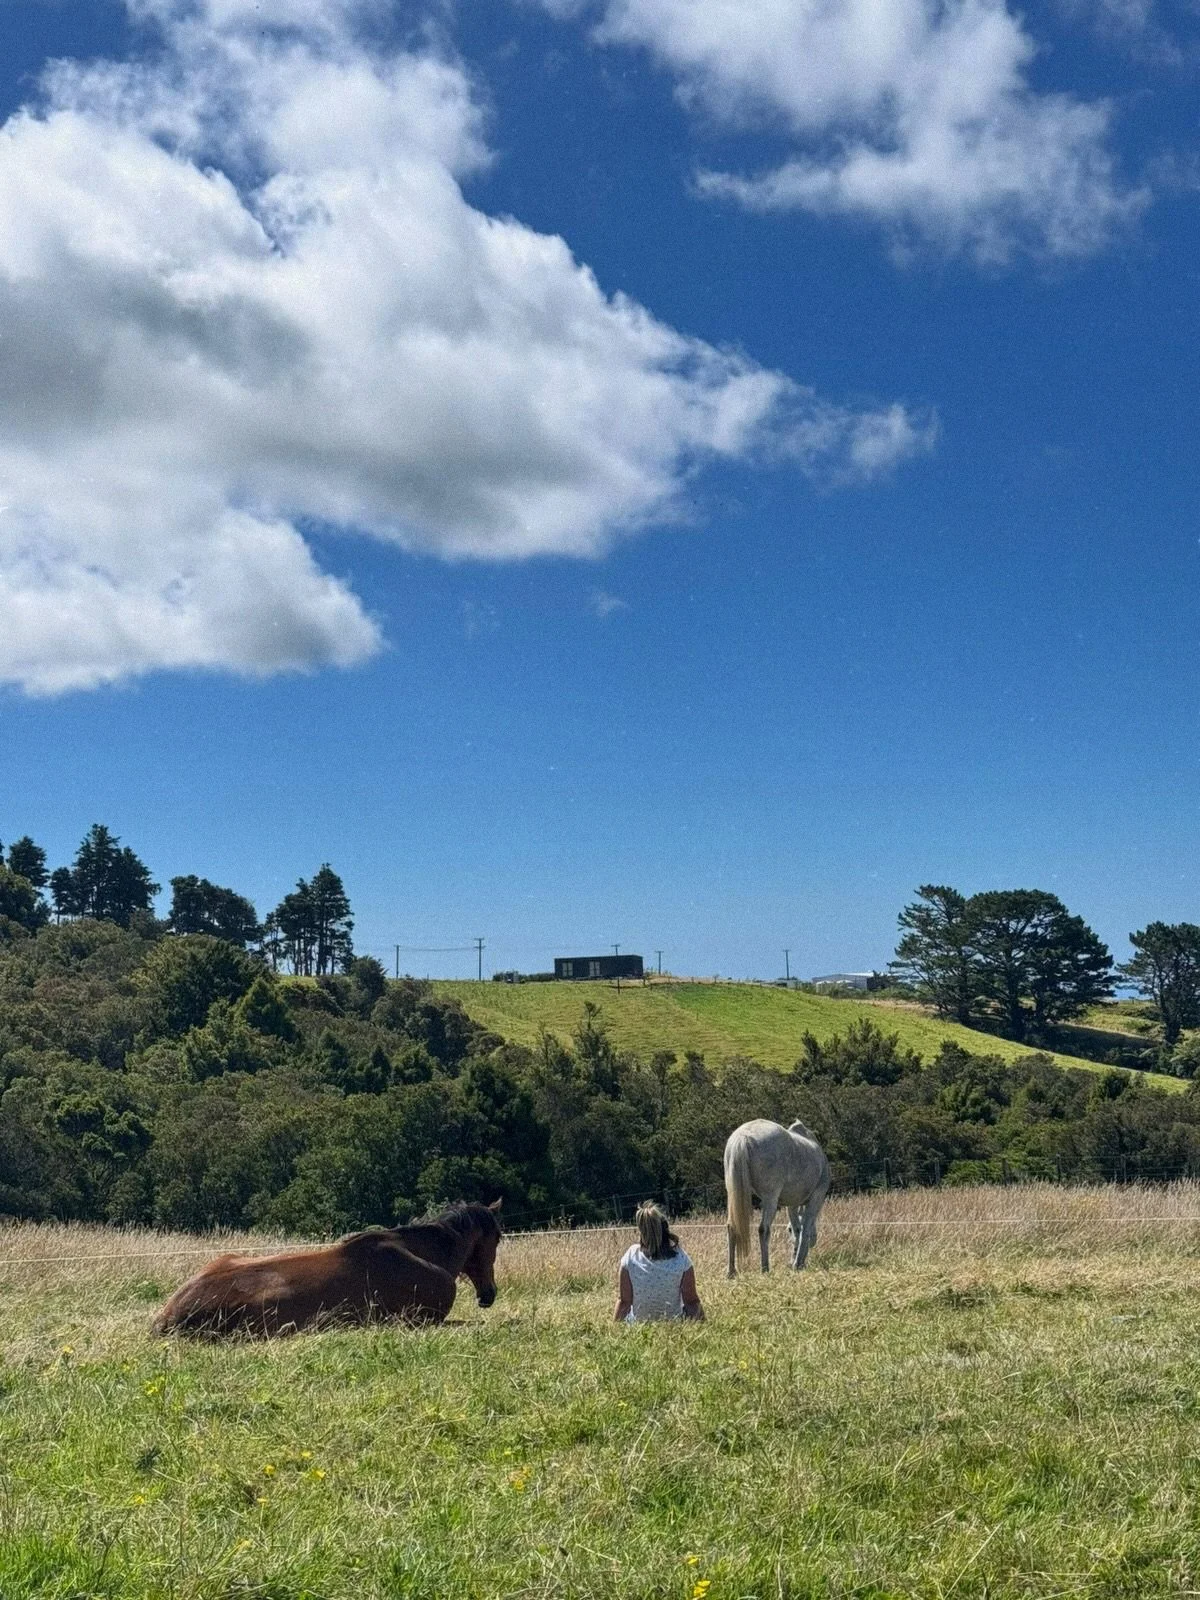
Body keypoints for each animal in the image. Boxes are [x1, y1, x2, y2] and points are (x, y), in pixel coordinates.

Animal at [724, 1119, 830, 1277]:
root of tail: (743, 1137)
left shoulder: (792, 1205)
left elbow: (797, 1229)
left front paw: (794, 1261)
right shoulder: (817, 1197)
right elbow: (804, 1230)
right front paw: (798, 1263)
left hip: (733, 1196)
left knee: (732, 1227)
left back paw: (731, 1271)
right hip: (770, 1199)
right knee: (763, 1229)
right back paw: (765, 1267)